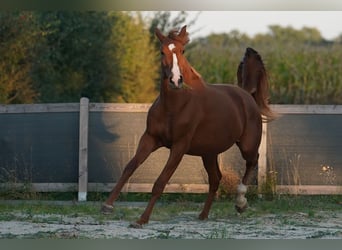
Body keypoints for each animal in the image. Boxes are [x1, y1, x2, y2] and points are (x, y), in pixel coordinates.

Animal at [101, 25, 276, 229]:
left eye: (182, 51)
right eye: (162, 51)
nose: (175, 80)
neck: (175, 105)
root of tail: (246, 95)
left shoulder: (179, 146)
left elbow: (160, 183)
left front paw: (141, 220)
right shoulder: (150, 138)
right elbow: (129, 167)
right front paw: (107, 205)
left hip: (247, 145)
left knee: (252, 161)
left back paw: (240, 203)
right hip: (208, 153)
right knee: (215, 179)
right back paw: (203, 215)